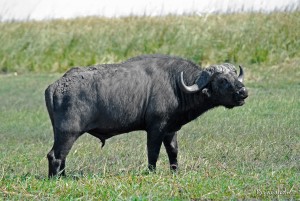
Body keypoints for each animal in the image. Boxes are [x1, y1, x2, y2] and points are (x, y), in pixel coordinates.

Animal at [44, 54, 246, 177]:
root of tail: (55, 86)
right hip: (68, 133)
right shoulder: (155, 128)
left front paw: (175, 171)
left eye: (235, 75)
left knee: (61, 157)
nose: (243, 92)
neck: (175, 85)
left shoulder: (170, 130)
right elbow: (153, 152)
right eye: (223, 80)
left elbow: (173, 151)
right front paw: (152, 172)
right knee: (55, 155)